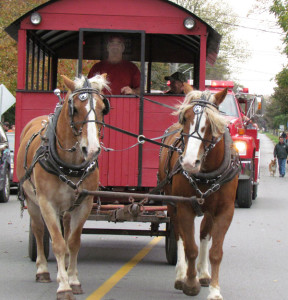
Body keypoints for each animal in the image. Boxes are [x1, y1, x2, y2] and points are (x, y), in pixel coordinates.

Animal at [16, 74, 110, 300]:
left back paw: (65, 266)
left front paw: (73, 279)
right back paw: (43, 270)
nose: (92, 149)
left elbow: (73, 242)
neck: (70, 164)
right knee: (39, 230)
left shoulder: (84, 203)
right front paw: (64, 286)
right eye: (74, 109)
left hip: (68, 208)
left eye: (103, 108)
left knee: (66, 231)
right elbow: (57, 242)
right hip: (33, 202)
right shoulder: (46, 203)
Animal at [159, 84, 240, 300]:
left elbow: (215, 251)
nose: (188, 162)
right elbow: (190, 248)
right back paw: (181, 274)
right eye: (185, 118)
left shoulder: (225, 211)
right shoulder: (184, 206)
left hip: (209, 210)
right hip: (171, 204)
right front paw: (189, 282)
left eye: (211, 123)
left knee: (204, 233)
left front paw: (214, 290)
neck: (207, 171)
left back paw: (203, 273)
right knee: (179, 235)